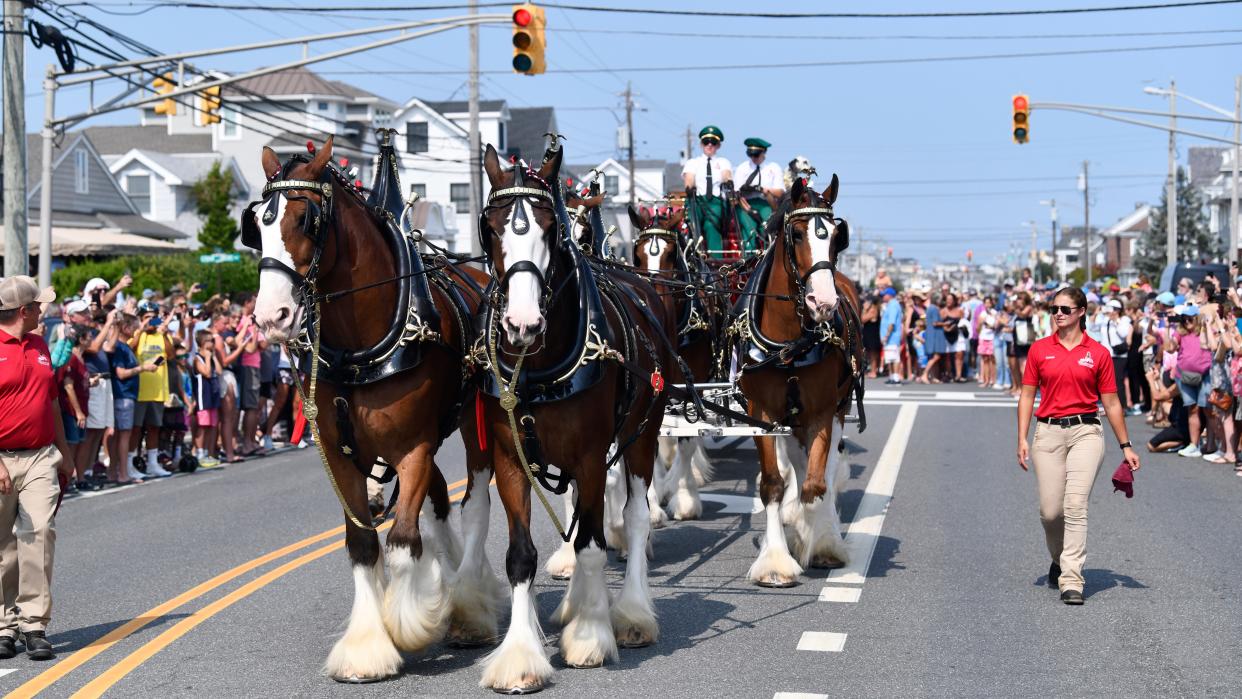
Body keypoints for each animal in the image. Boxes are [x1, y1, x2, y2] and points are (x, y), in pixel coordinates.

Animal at [247, 139, 499, 680]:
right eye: (256, 222)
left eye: (306, 219)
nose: (271, 316)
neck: (361, 346)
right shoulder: (340, 455)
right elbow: (363, 544)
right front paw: (366, 648)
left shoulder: (413, 447)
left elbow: (402, 539)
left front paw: (410, 622)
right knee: (441, 504)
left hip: (474, 425)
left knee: (474, 500)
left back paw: (467, 602)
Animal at [471, 145, 670, 690]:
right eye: (491, 227)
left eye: (548, 227)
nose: (521, 323)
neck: (537, 363)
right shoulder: (509, 459)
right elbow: (522, 555)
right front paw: (520, 656)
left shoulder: (591, 454)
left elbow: (594, 545)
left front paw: (590, 637)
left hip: (644, 432)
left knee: (634, 516)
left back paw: (631, 613)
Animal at [730, 175, 859, 586]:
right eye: (797, 234)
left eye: (836, 236)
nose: (824, 303)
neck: (788, 343)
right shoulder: (762, 413)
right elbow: (772, 483)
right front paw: (776, 561)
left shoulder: (820, 410)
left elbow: (815, 485)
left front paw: (815, 540)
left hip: (839, 407)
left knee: (825, 470)